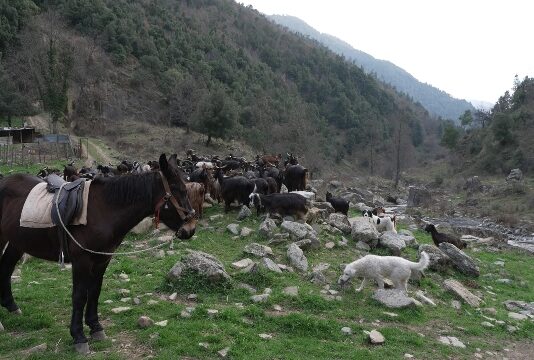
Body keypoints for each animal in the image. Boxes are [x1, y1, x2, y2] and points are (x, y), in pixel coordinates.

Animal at [0, 153, 198, 352]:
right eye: (177, 189)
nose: (190, 229)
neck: (103, 210)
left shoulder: (102, 260)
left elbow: (95, 291)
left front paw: (95, 328)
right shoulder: (81, 261)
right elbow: (79, 296)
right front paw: (79, 336)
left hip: (17, 242)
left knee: (7, 268)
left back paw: (11, 306)